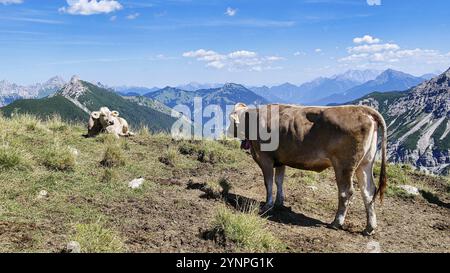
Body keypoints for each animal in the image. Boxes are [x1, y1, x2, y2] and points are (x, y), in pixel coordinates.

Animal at [229, 103, 386, 235]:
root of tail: (362, 109)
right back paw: (369, 227)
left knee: (346, 192)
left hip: (344, 164)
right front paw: (279, 203)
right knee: (368, 191)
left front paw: (267, 205)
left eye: (231, 120)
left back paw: (336, 222)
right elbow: (279, 181)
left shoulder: (265, 158)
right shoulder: (280, 160)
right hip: (365, 163)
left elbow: (268, 183)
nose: (229, 130)